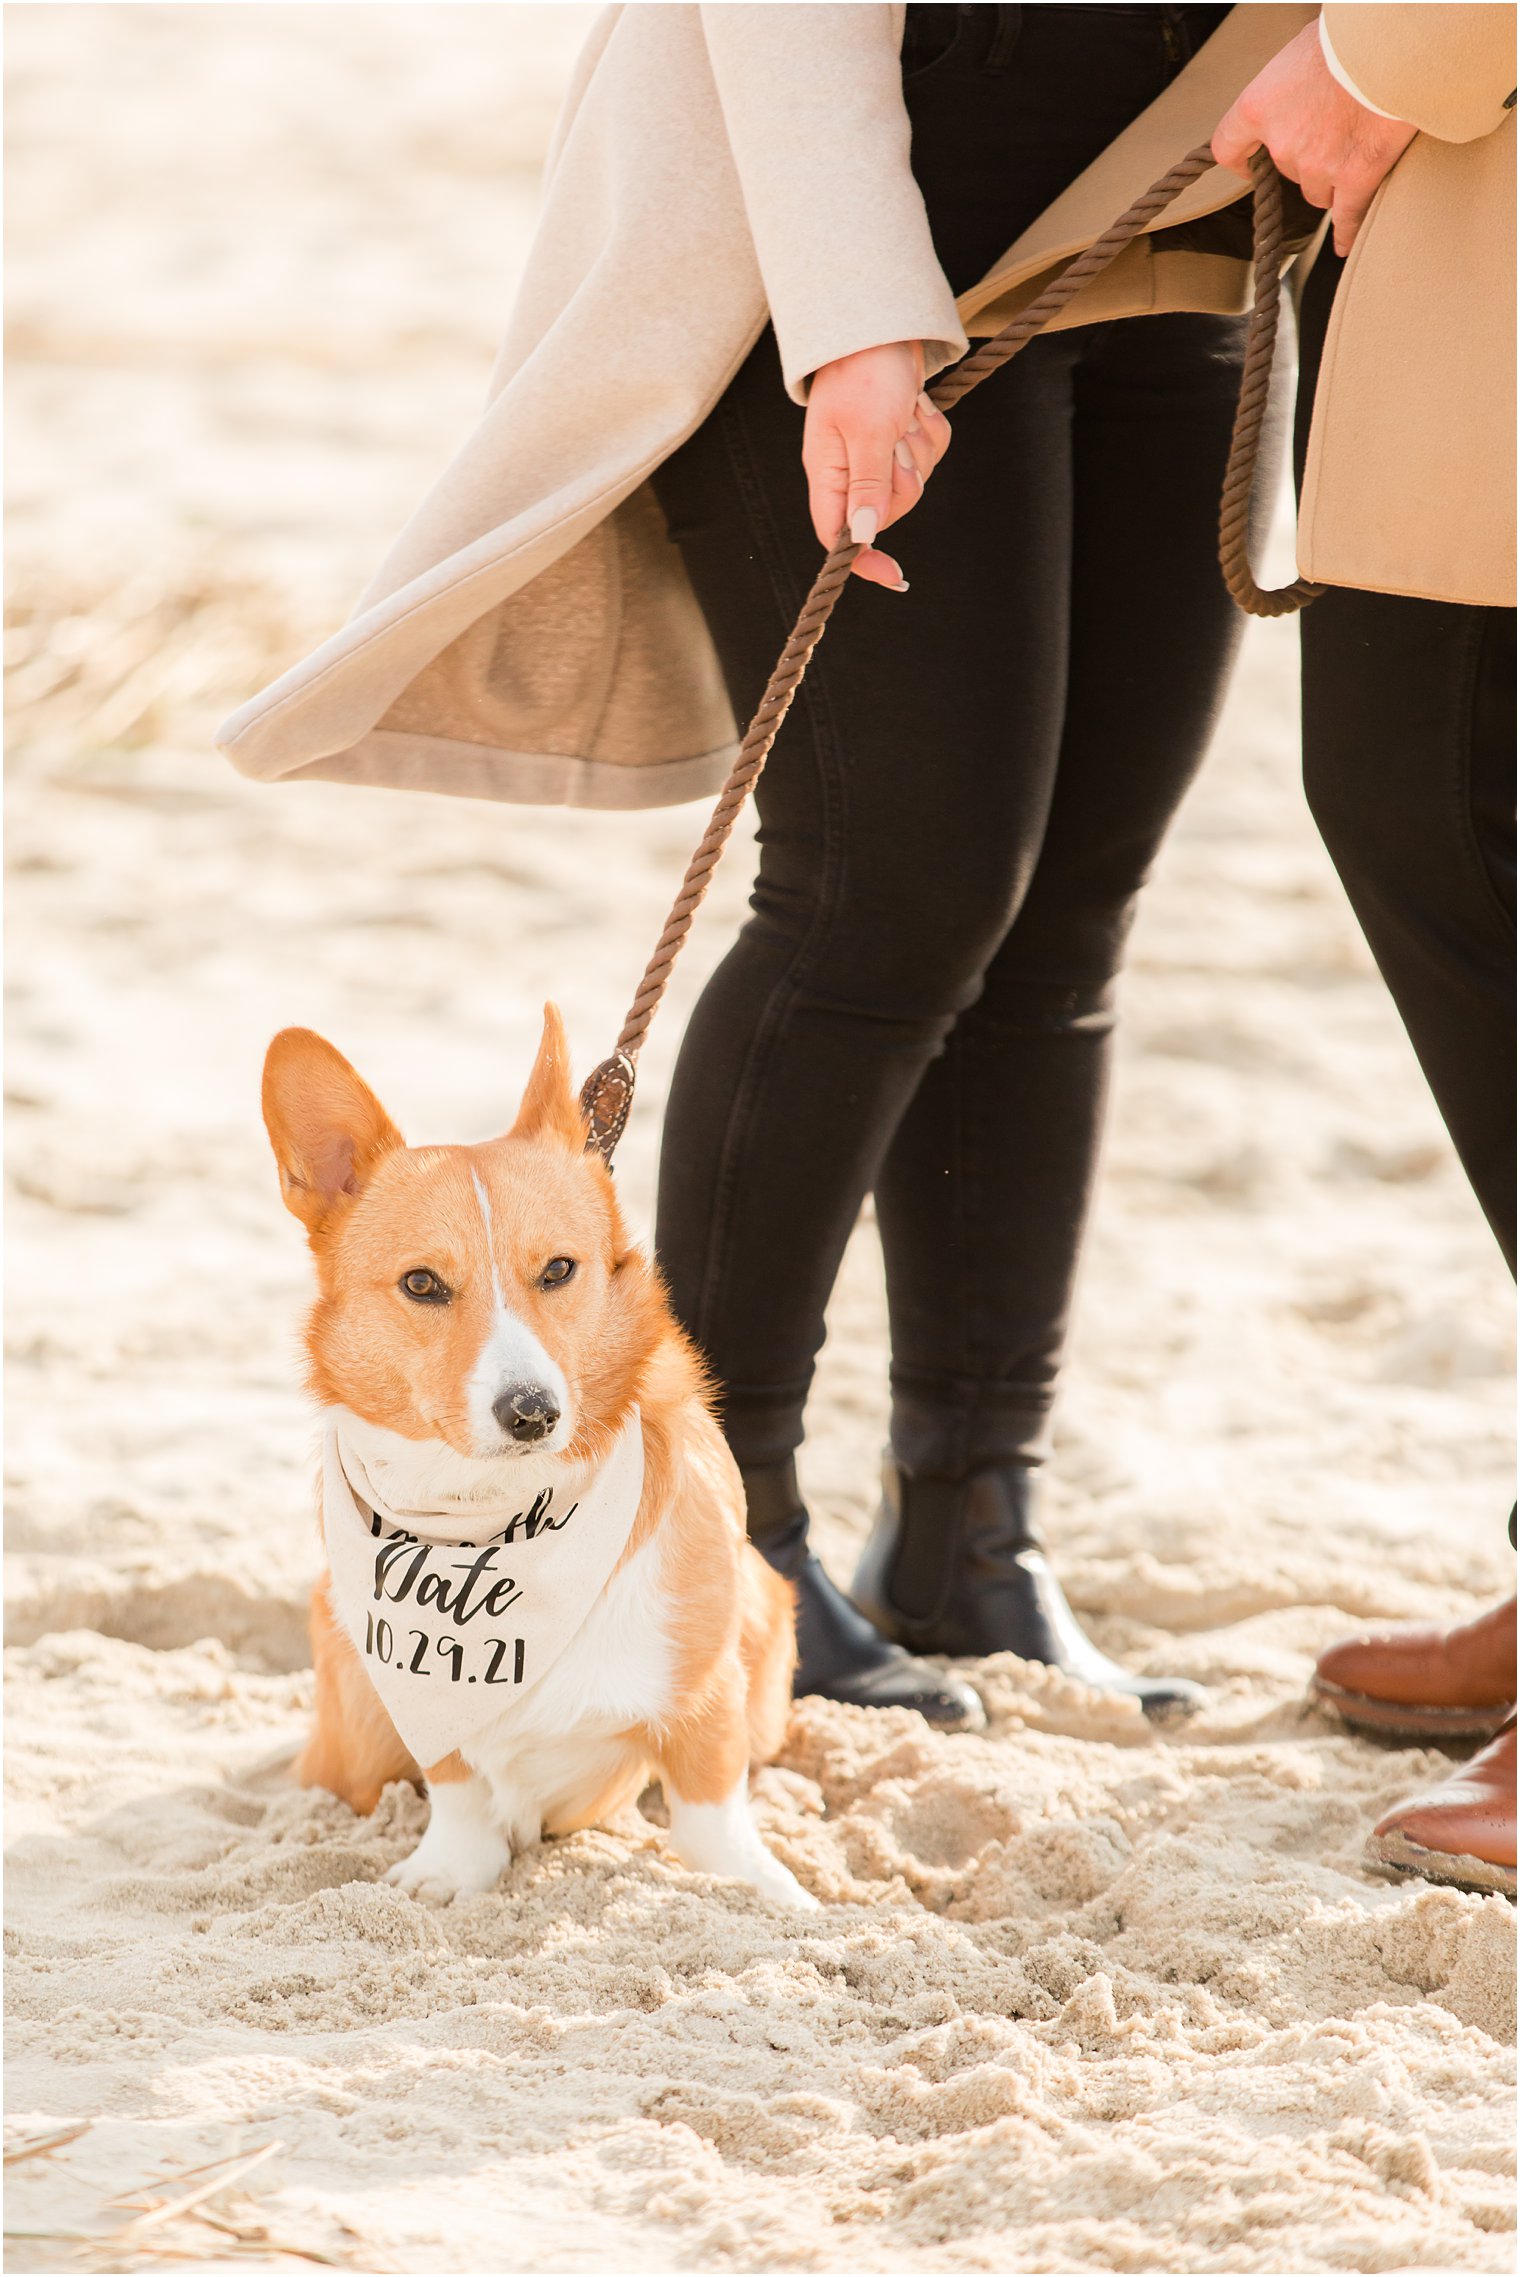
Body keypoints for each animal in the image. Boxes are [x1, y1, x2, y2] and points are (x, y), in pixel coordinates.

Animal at [258, 1006, 819, 1912]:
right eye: (422, 1284)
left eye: (558, 1269)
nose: (532, 1412)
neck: (498, 1514)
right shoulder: (425, 1700)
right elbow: (457, 1789)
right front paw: (449, 1869)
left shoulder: (705, 1689)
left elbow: (712, 1812)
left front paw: (764, 1889)